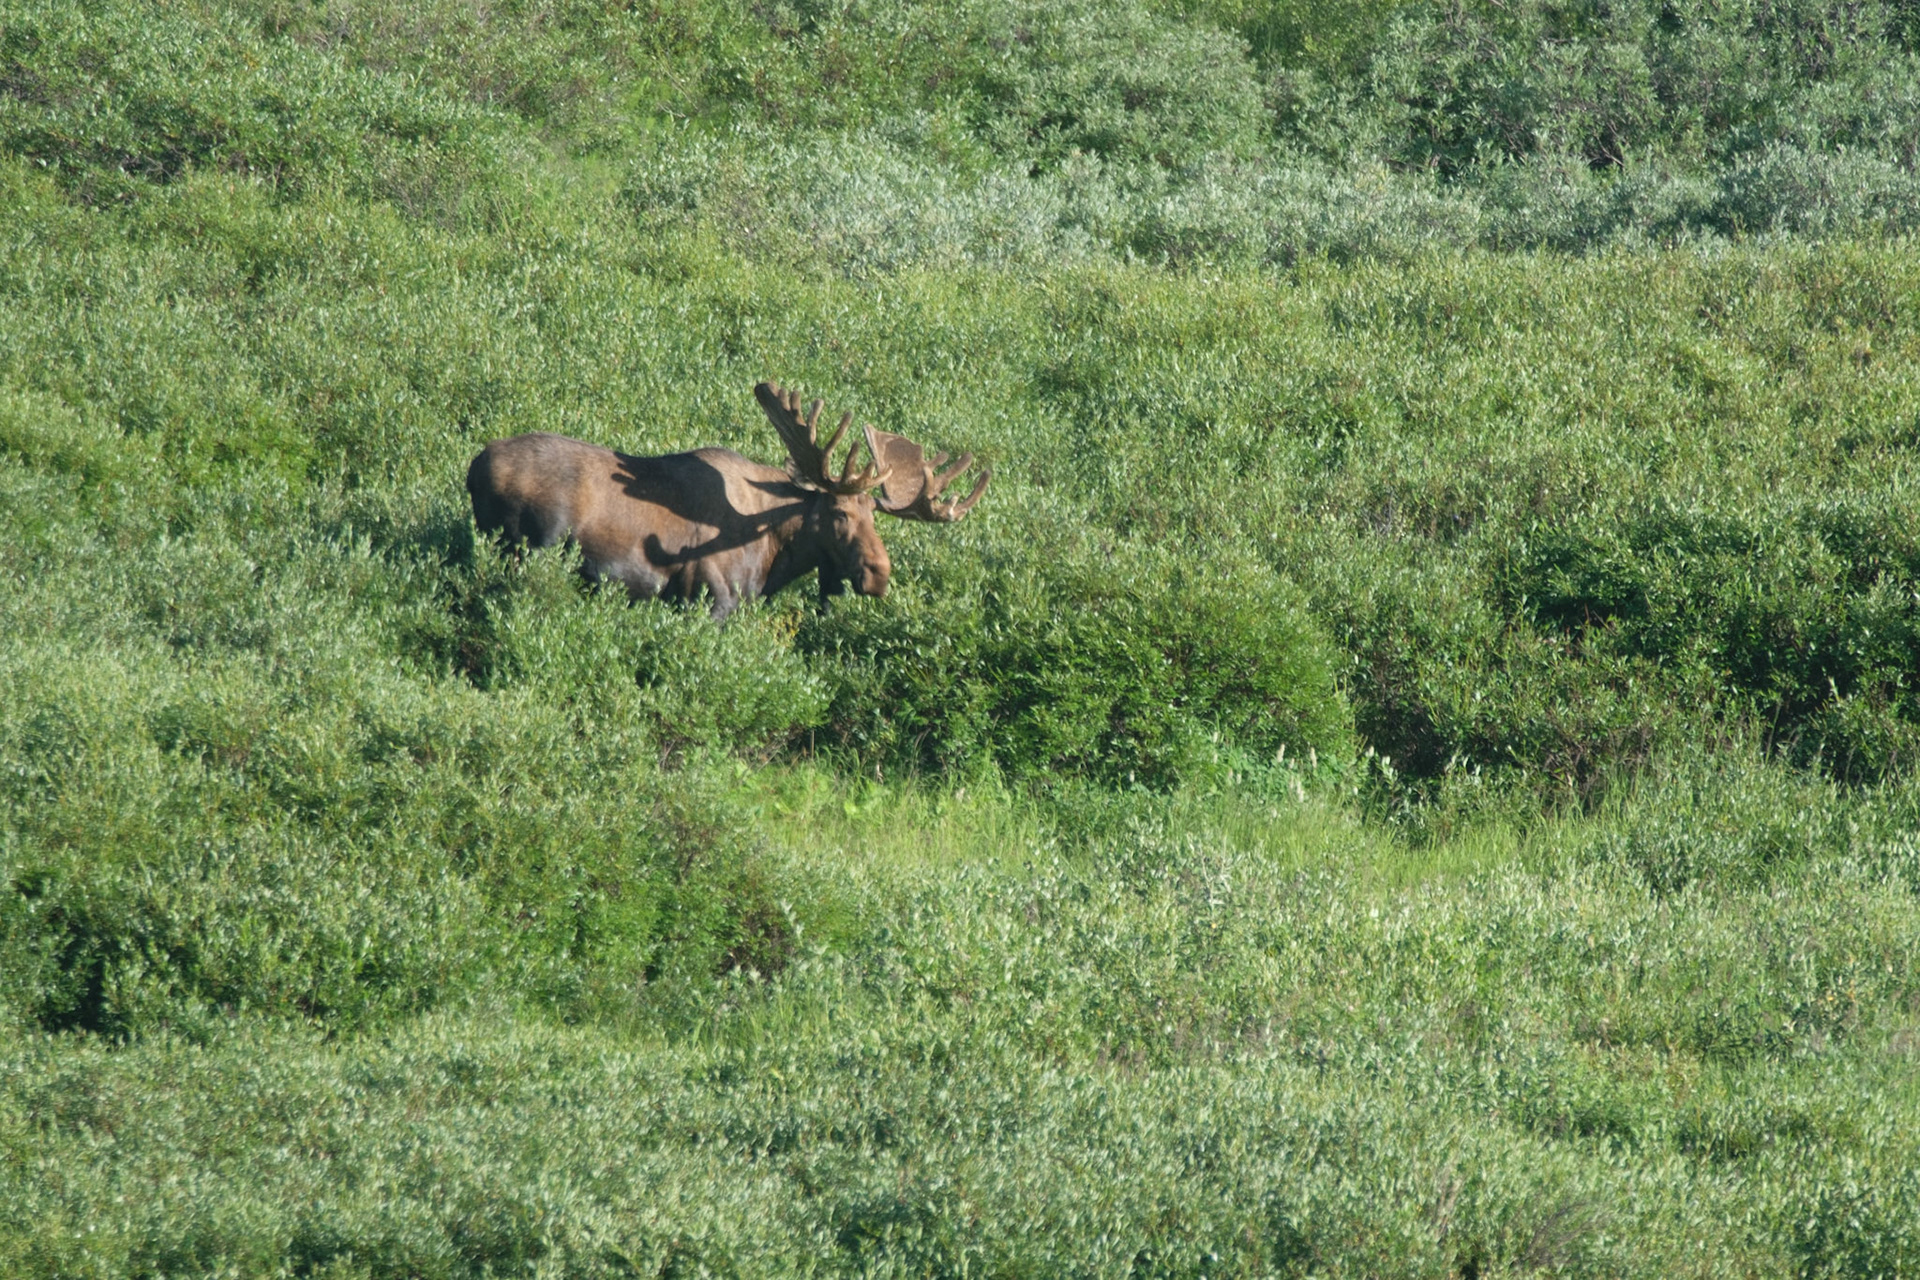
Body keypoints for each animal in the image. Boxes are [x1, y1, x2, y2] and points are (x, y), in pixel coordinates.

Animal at [465, 382, 989, 620]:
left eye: (876, 516)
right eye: (839, 513)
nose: (879, 575)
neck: (775, 553)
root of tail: (474, 467)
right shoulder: (712, 600)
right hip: (527, 550)